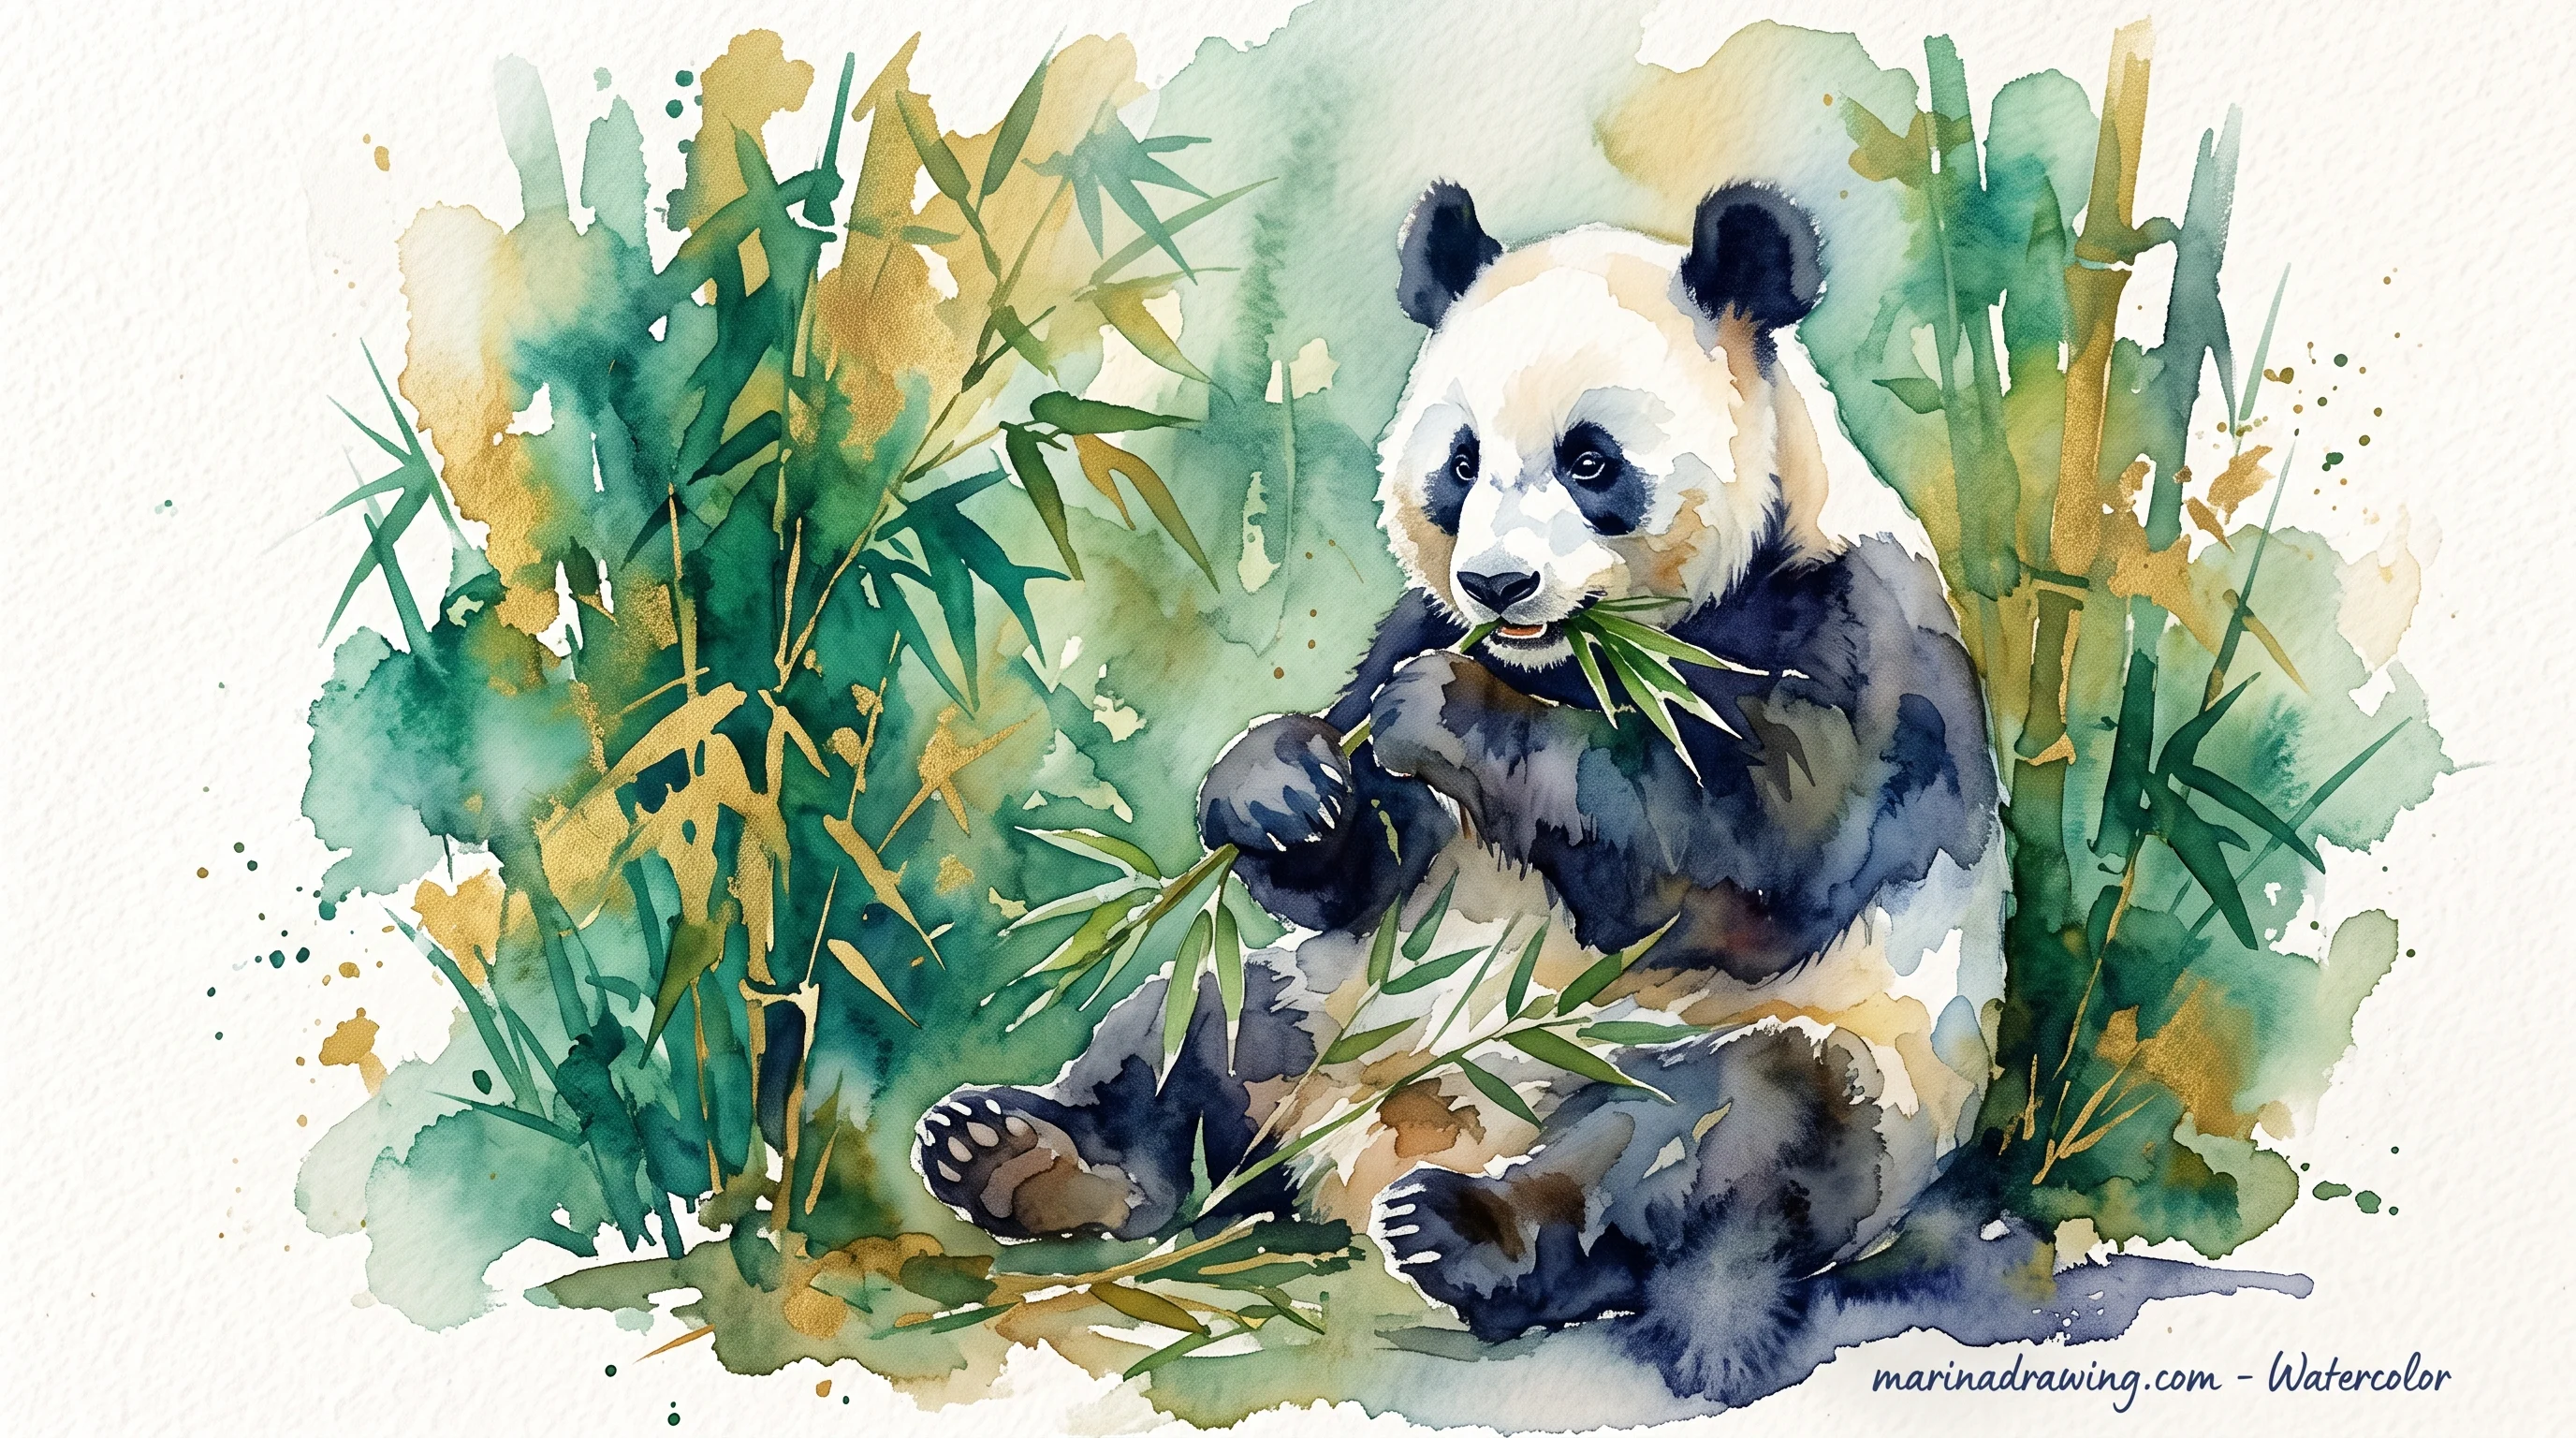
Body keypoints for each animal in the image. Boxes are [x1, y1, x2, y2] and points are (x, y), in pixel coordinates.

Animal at [917, 179, 2006, 1395]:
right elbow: (1367, 857)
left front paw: (1445, 711)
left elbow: (1755, 865)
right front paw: (1280, 786)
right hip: (1327, 1009)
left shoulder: (1851, 632)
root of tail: (1359, 1163)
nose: (1498, 582)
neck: (1572, 660)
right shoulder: (1415, 623)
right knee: (1195, 1025)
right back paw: (1021, 1156)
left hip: (1830, 1072)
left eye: (1590, 462)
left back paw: (1472, 1236)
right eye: (1462, 462)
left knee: (1715, 1126)